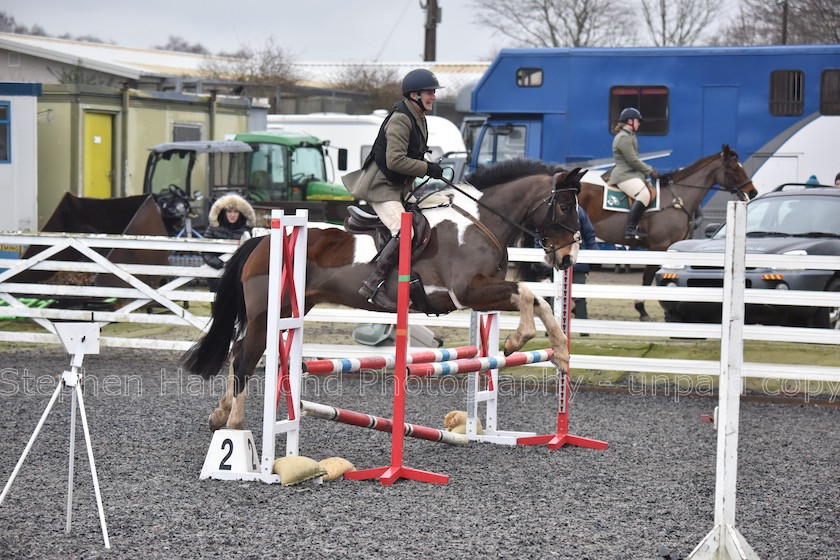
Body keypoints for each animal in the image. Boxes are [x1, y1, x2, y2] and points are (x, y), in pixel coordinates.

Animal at [181, 160, 584, 430]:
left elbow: (538, 300)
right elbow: (527, 293)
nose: (567, 259)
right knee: (245, 359)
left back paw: (220, 414)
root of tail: (263, 239)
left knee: (238, 350)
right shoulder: (467, 292)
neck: (479, 222)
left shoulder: (481, 291)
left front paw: (562, 354)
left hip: (288, 308)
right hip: (267, 312)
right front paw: (518, 339)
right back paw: (234, 425)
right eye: (565, 207)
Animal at [580, 144, 756, 320]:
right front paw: (641, 310)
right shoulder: (658, 246)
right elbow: (648, 277)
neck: (677, 198)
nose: (753, 191)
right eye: (734, 168)